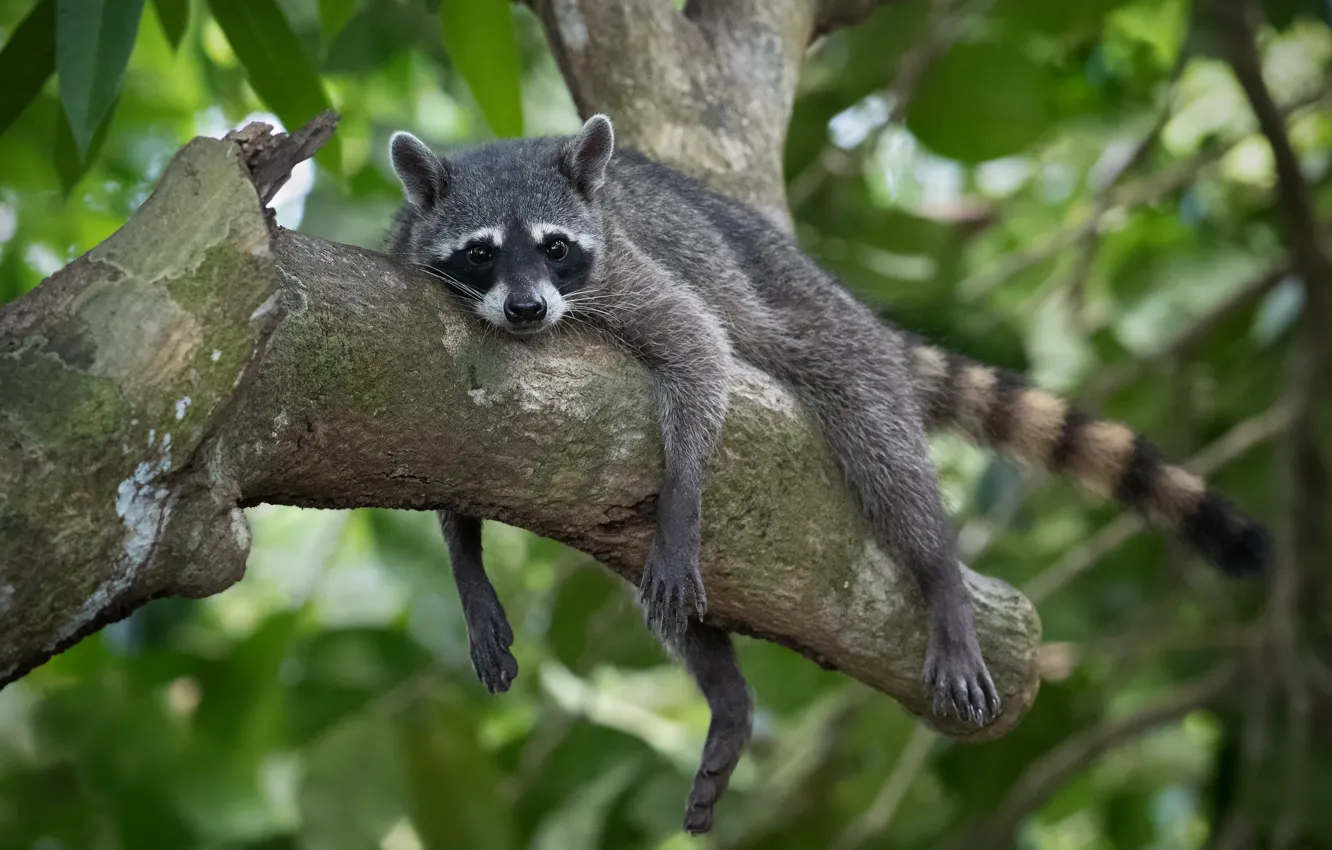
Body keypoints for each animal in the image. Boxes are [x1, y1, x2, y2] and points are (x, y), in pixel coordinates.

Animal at [386, 114, 1268, 842]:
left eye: (556, 246)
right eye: (482, 252)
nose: (528, 310)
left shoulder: (628, 273)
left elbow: (699, 347)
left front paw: (682, 502)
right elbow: (439, 455)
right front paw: (467, 562)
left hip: (835, 339)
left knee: (887, 454)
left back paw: (939, 576)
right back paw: (723, 685)